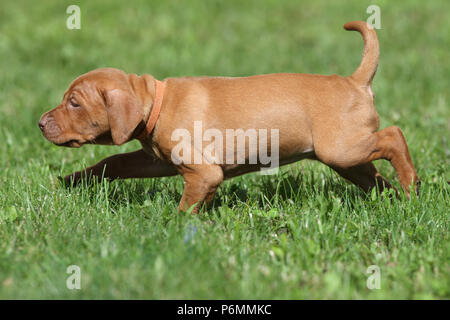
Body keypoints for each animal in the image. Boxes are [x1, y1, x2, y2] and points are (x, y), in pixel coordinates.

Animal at [39, 21, 422, 212]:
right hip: (349, 159)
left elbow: (186, 207)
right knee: (377, 177)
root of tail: (354, 81)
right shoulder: (159, 161)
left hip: (341, 149)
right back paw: (397, 200)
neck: (157, 102)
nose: (41, 123)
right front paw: (72, 180)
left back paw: (411, 184)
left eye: (74, 103)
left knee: (395, 136)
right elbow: (114, 161)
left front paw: (175, 229)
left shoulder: (204, 171)